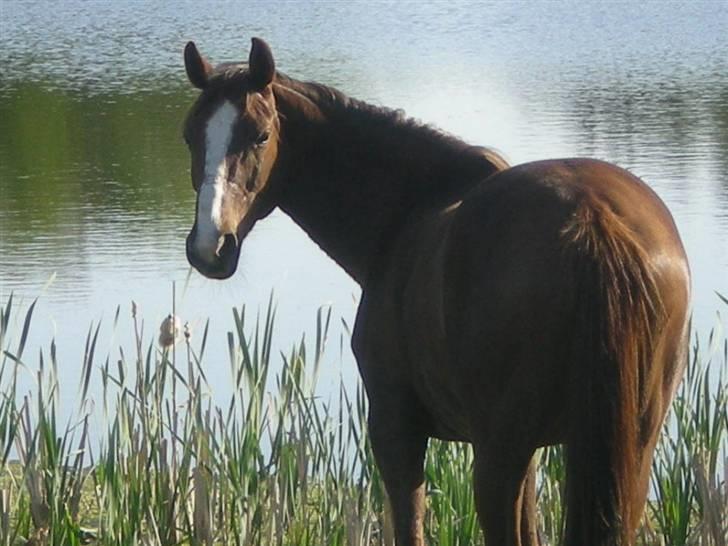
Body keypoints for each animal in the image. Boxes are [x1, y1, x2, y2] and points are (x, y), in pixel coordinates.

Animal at [181, 38, 688, 544]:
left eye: (261, 136)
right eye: (190, 135)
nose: (211, 246)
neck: (408, 211)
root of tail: (591, 219)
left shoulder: (394, 428)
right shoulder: (536, 454)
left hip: (499, 454)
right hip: (628, 451)